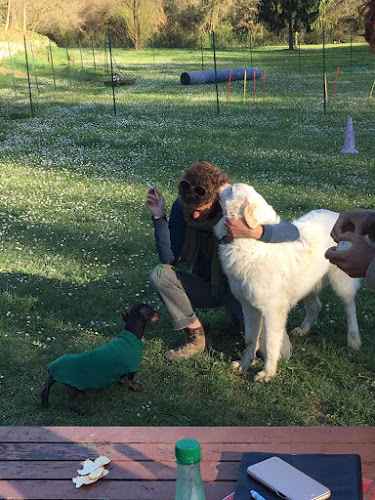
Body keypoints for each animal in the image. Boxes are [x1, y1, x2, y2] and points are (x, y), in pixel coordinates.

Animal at [216, 184, 362, 382]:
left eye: (231, 189)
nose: (219, 186)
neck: (250, 241)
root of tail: (336, 214)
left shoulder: (272, 311)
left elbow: (270, 344)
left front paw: (267, 373)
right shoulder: (249, 306)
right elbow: (250, 339)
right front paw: (245, 364)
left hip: (341, 283)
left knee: (350, 308)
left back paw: (354, 340)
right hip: (307, 282)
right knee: (316, 305)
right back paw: (304, 329)